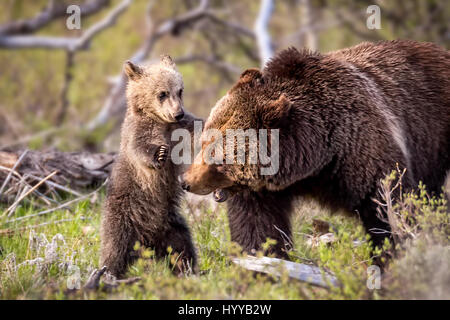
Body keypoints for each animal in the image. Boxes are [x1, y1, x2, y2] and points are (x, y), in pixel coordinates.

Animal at [181, 40, 450, 260]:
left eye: (219, 157)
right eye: (204, 142)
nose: (186, 181)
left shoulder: (365, 153)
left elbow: (390, 207)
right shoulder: (264, 189)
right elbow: (257, 224)